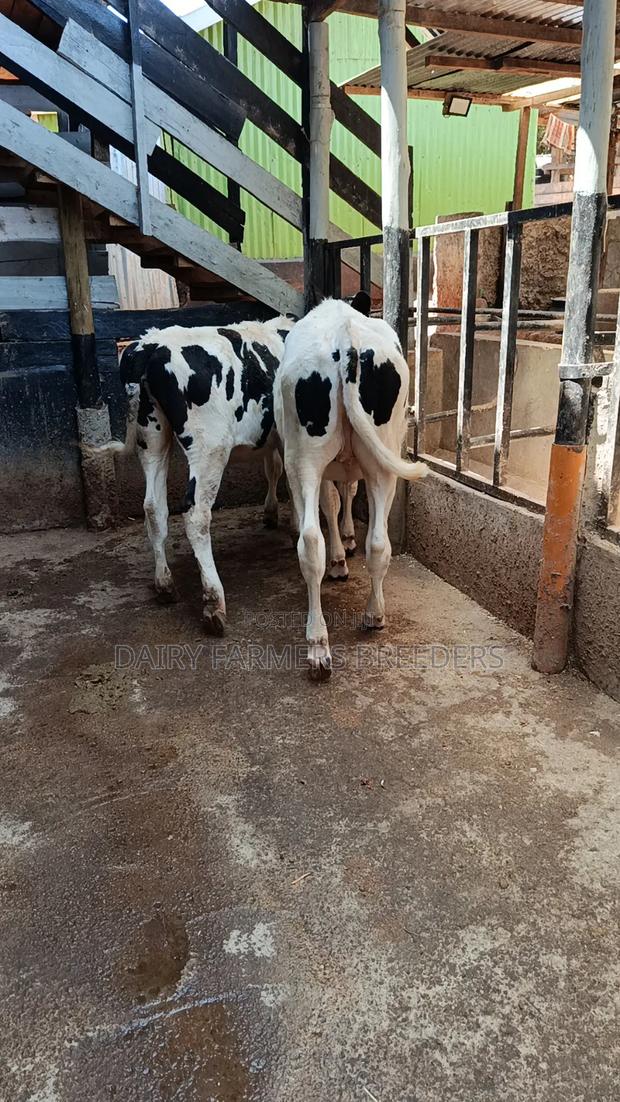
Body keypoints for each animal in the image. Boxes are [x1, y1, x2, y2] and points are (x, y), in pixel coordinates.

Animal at [274, 297, 427, 682]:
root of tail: (346, 337)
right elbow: (347, 495)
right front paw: (345, 544)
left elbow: (331, 502)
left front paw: (340, 555)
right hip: (382, 460)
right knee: (379, 542)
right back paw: (374, 614)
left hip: (304, 460)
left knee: (310, 542)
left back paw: (317, 644)